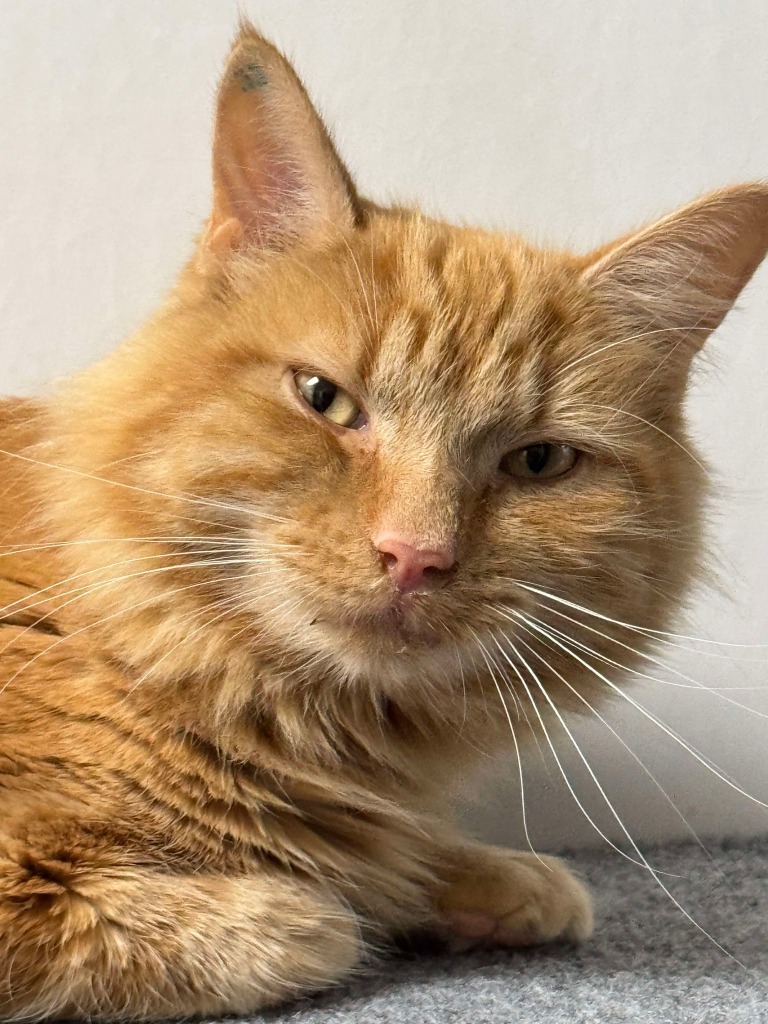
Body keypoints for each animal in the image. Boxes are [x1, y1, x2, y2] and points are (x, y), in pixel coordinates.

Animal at [1, 19, 768, 1019]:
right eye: (325, 400)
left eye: (538, 463)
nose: (415, 555)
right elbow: (292, 926)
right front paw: (333, 906)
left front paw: (474, 879)